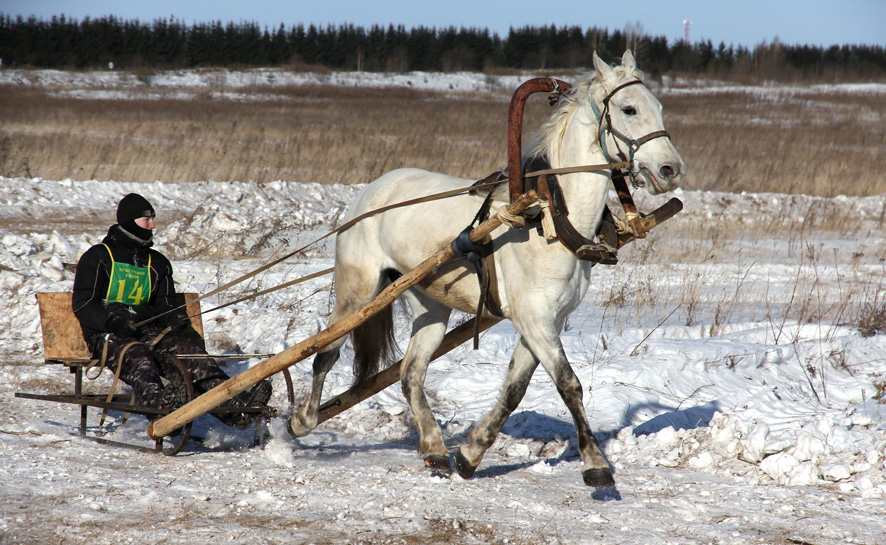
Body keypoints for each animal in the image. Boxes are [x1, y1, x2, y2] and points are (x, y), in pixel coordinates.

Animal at [292, 51, 688, 484]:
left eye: (660, 107)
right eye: (629, 108)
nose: (671, 170)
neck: (551, 217)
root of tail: (372, 190)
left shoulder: (546, 320)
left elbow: (515, 389)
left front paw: (471, 452)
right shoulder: (534, 318)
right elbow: (569, 384)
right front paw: (595, 463)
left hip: (431, 305)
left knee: (411, 373)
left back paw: (434, 449)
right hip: (359, 290)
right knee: (325, 353)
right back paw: (303, 420)